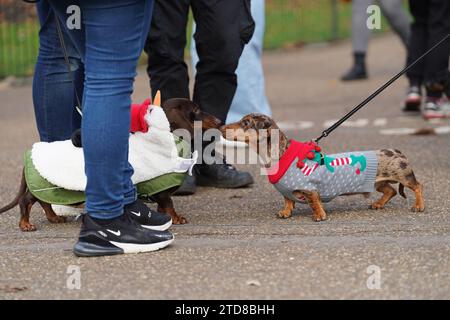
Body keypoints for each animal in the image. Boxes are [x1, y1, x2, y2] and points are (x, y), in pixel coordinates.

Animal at [221, 114, 426, 221]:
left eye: (245, 123)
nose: (221, 127)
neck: (281, 154)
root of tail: (397, 151)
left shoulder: (310, 188)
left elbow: (314, 201)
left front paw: (319, 215)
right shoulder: (286, 192)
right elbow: (287, 201)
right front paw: (285, 213)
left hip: (403, 175)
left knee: (417, 187)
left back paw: (419, 206)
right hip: (377, 182)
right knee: (390, 191)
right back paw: (378, 204)